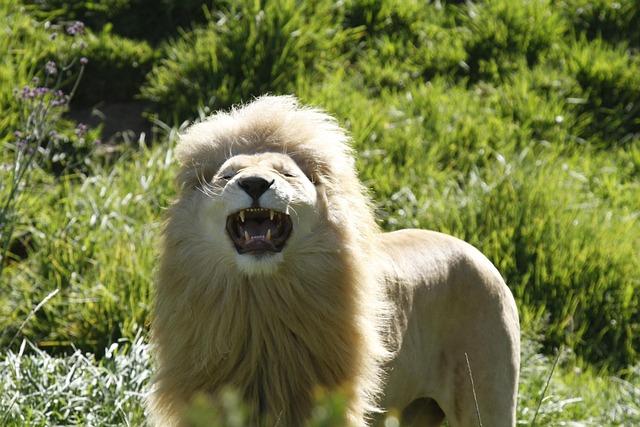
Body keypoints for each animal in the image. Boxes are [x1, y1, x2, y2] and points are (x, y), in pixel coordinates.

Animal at [150, 95, 520, 426]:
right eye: (227, 176)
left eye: (287, 175)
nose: (255, 183)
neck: (261, 303)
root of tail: (476, 252)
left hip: (485, 399)